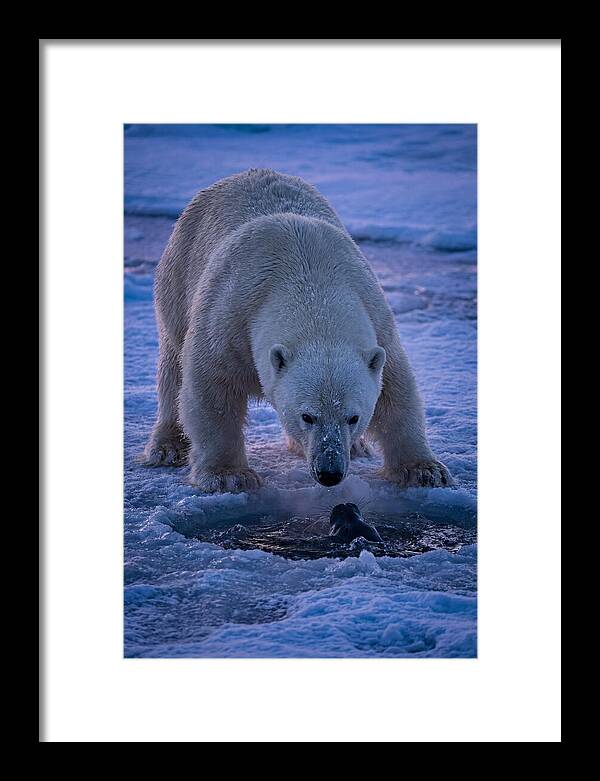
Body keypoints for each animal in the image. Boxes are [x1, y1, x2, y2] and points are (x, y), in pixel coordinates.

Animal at [143, 169, 452, 493]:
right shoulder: (229, 316)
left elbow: (396, 390)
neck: (310, 279)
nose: (329, 472)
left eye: (353, 417)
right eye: (308, 416)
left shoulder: (377, 320)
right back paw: (167, 447)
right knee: (173, 365)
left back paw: (357, 448)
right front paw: (229, 475)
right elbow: (212, 389)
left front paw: (425, 470)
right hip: (178, 274)